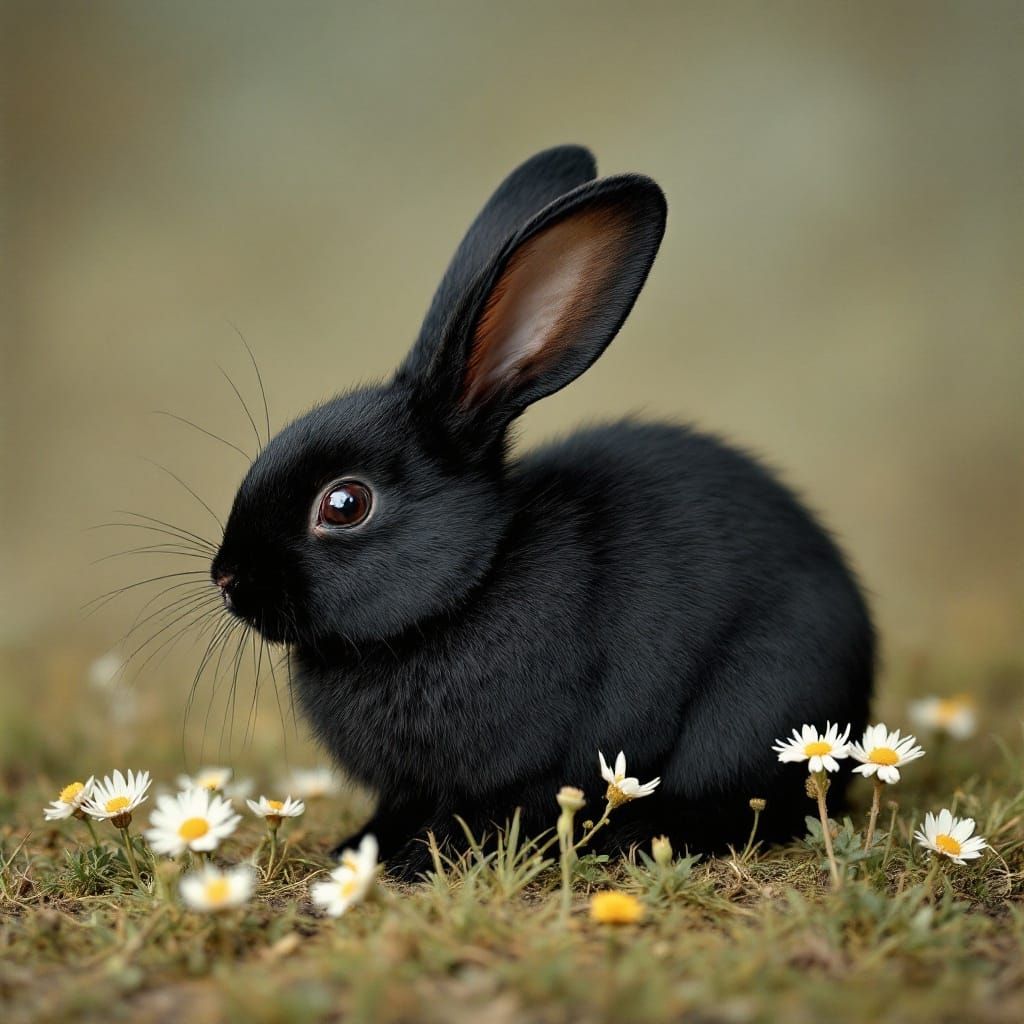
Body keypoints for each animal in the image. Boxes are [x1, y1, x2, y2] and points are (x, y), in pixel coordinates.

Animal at [210, 145, 874, 878]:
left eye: (344, 503)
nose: (227, 579)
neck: (466, 589)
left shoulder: (527, 769)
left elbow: (479, 814)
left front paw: (416, 860)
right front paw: (363, 847)